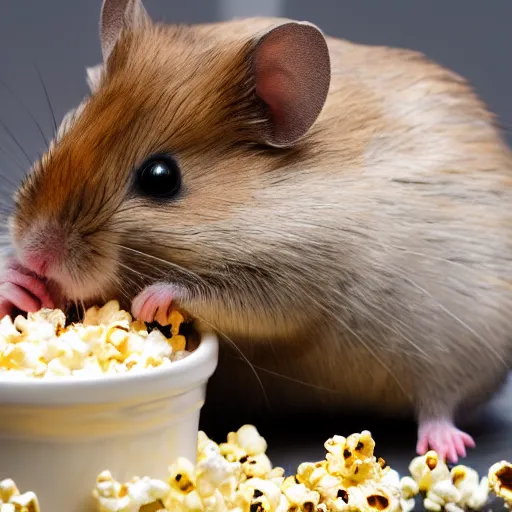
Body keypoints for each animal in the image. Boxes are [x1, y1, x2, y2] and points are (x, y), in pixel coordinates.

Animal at [1, 0, 512, 464]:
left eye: (161, 178)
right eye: (64, 132)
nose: (34, 253)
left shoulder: (295, 283)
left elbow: (221, 296)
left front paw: (150, 300)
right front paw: (20, 285)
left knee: (440, 402)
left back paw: (446, 448)